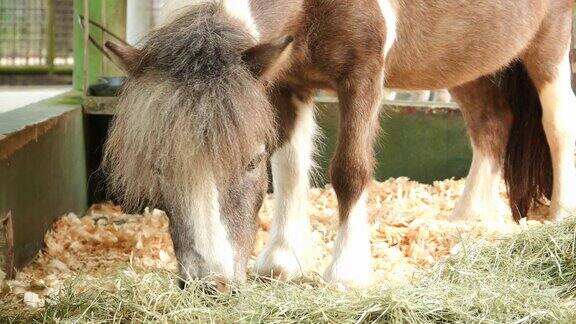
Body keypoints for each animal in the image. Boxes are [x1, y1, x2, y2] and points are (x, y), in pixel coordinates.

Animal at [104, 0, 576, 288]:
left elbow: (349, 170)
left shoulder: (363, 74)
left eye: (250, 161)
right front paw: (283, 260)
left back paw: (560, 215)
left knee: (558, 122)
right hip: (465, 58)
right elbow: (290, 170)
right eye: (159, 166)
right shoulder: (285, 82)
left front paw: (346, 272)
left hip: (549, 41)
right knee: (491, 123)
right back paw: (468, 216)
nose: (210, 284)